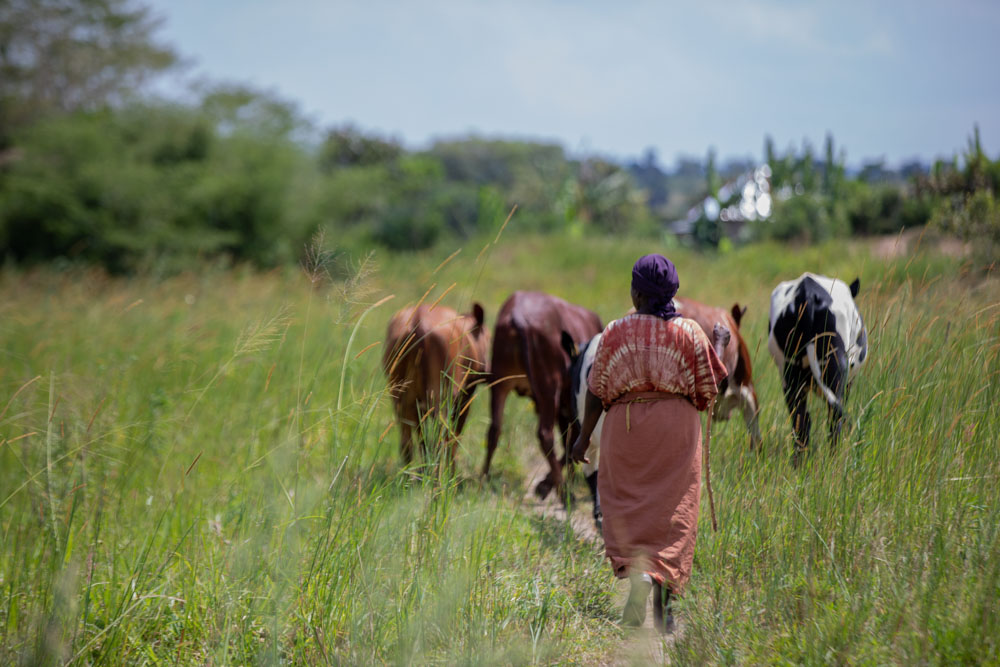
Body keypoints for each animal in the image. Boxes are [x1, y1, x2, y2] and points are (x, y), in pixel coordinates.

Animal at [383, 302, 490, 466]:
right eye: (489, 338)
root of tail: (418, 322)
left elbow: (423, 441)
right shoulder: (465, 395)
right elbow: (454, 438)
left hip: (400, 397)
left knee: (407, 444)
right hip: (441, 397)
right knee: (441, 440)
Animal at [482, 291, 603, 499]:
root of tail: (517, 314)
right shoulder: (572, 407)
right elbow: (574, 441)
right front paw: (547, 486)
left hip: (500, 383)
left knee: (494, 429)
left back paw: (483, 478)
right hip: (548, 388)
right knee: (545, 434)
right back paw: (563, 492)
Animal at [767, 273, 868, 463]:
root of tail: (807, 292)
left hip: (789, 374)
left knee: (801, 422)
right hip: (834, 363)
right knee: (834, 418)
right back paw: (834, 459)